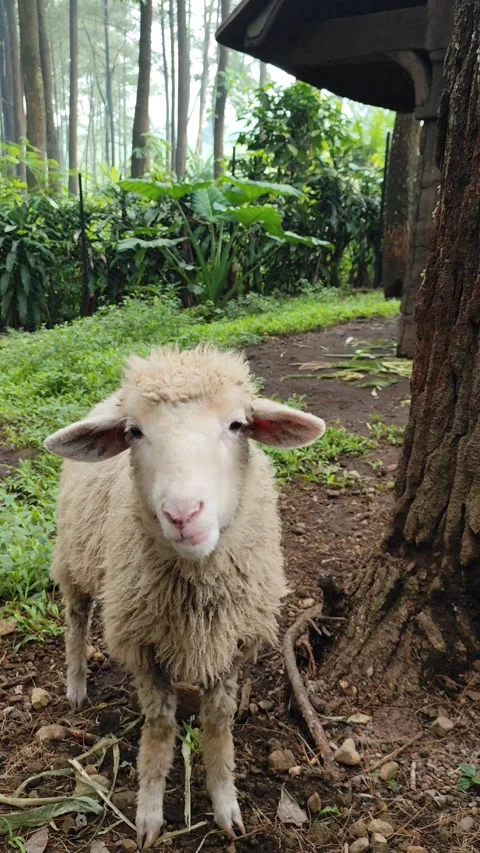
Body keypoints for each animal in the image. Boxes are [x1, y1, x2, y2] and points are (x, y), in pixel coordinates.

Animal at [44, 345, 326, 848]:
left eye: (236, 425)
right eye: (134, 432)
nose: (182, 514)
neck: (197, 585)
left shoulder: (231, 643)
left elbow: (219, 725)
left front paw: (225, 804)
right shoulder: (144, 648)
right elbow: (159, 729)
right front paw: (149, 814)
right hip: (73, 554)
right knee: (76, 616)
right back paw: (76, 684)